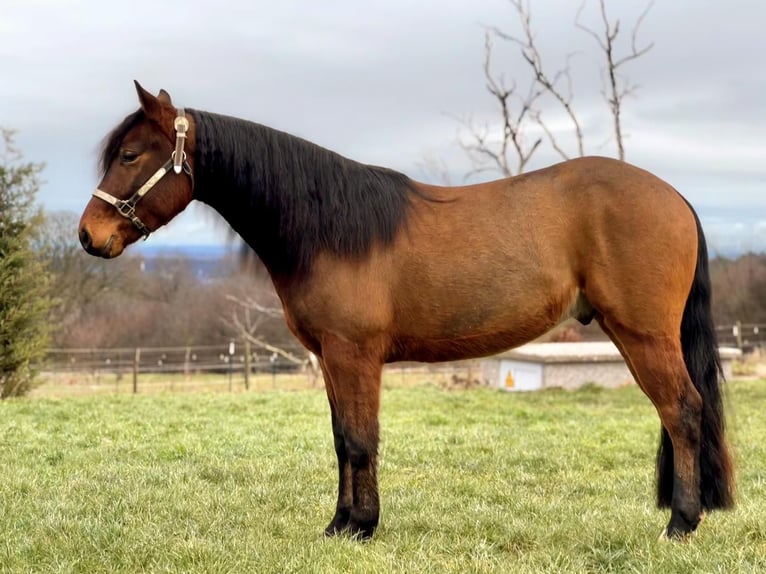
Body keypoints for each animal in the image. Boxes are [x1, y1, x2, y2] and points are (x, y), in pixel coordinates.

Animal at [79, 83, 736, 544]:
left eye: (131, 154)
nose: (89, 235)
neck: (327, 228)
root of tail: (676, 197)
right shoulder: (331, 358)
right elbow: (342, 439)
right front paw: (340, 524)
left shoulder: (354, 354)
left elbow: (360, 439)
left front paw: (363, 526)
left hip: (644, 335)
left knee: (682, 411)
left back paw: (681, 524)